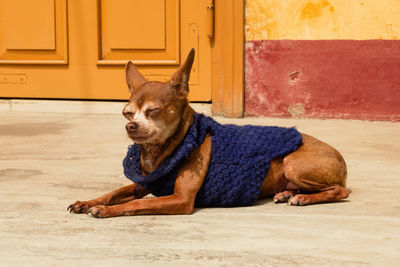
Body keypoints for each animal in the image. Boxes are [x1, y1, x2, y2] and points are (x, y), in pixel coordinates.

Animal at [69, 49, 350, 219]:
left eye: (153, 111)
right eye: (127, 113)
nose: (131, 126)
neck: (163, 150)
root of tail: (340, 157)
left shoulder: (180, 199)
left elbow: (135, 204)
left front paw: (104, 210)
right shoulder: (142, 184)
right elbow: (114, 193)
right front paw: (89, 202)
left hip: (294, 164)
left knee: (340, 191)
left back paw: (302, 197)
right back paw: (286, 193)